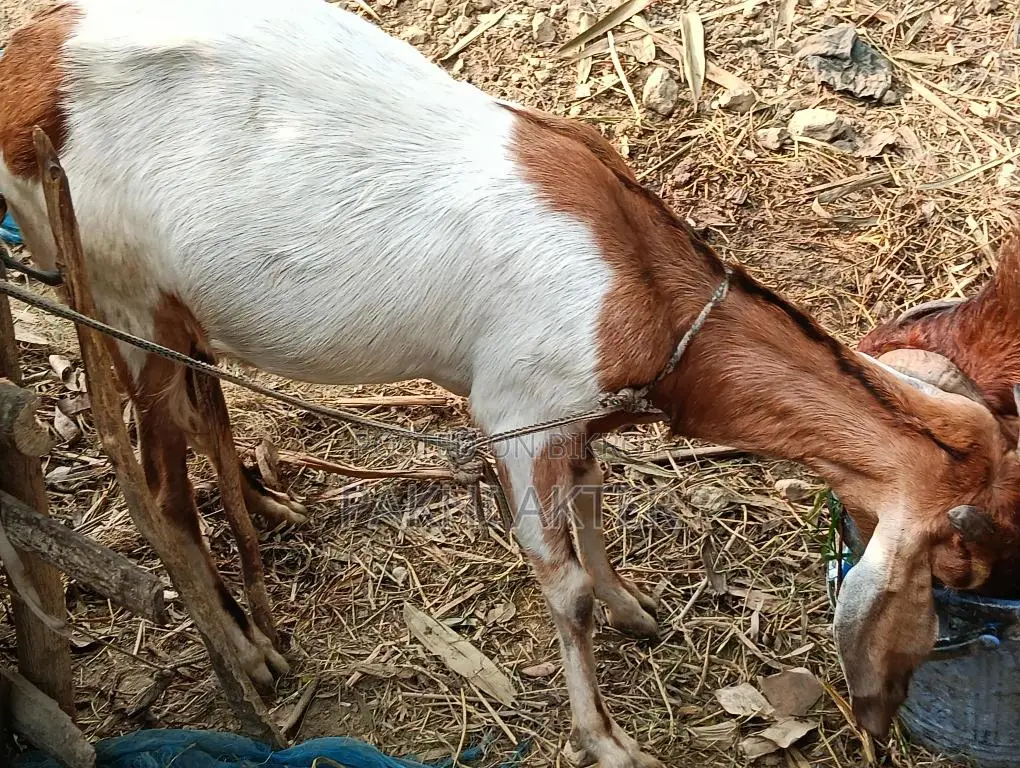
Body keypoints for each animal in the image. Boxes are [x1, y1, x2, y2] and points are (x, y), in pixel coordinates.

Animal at [2, 1, 1019, 763]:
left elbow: (596, 502)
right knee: (160, 490)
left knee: (205, 415)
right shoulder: (517, 416)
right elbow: (561, 586)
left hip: (168, 311)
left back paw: (266, 541)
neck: (641, 281)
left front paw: (637, 609)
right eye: (955, 567)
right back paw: (249, 660)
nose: (883, 717)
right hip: (124, 297)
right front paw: (609, 741)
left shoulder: (572, 420)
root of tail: (23, 68)